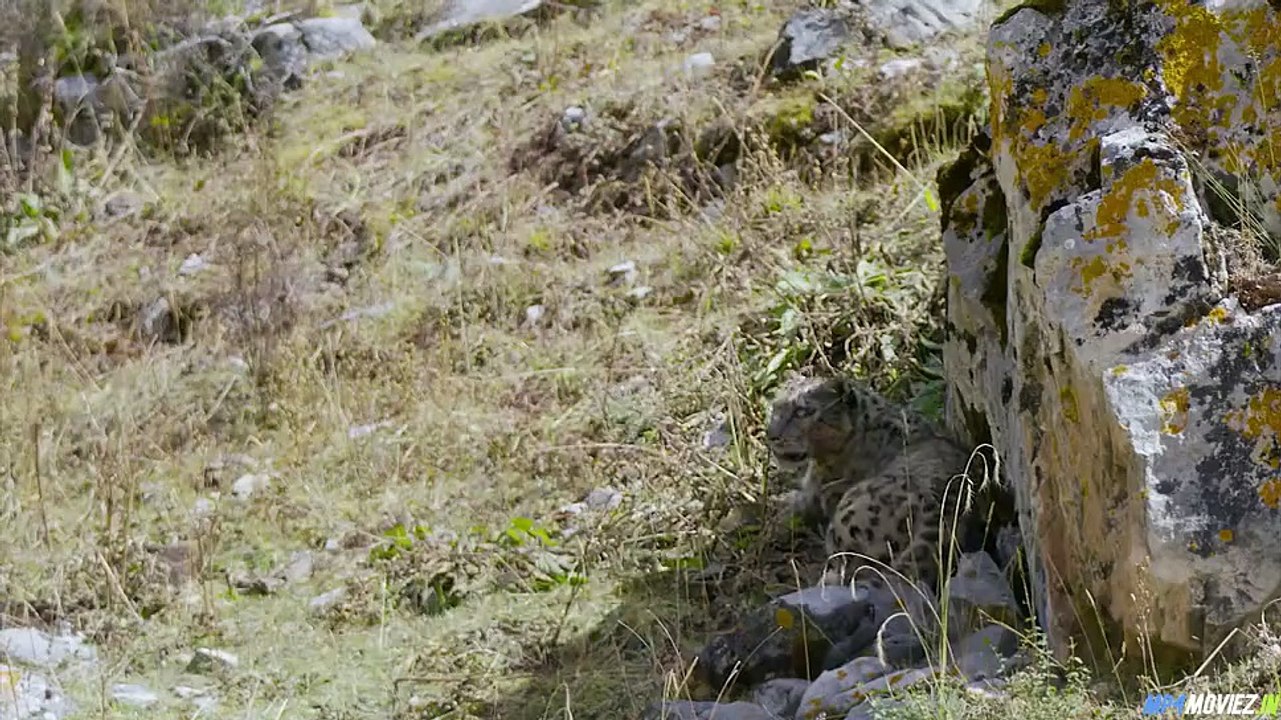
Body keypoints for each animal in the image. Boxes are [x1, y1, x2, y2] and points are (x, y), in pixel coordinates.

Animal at [764, 374, 989, 594]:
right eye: (775, 406)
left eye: (803, 411)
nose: (772, 435)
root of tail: (940, 514)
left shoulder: (817, 492)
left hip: (845, 521)